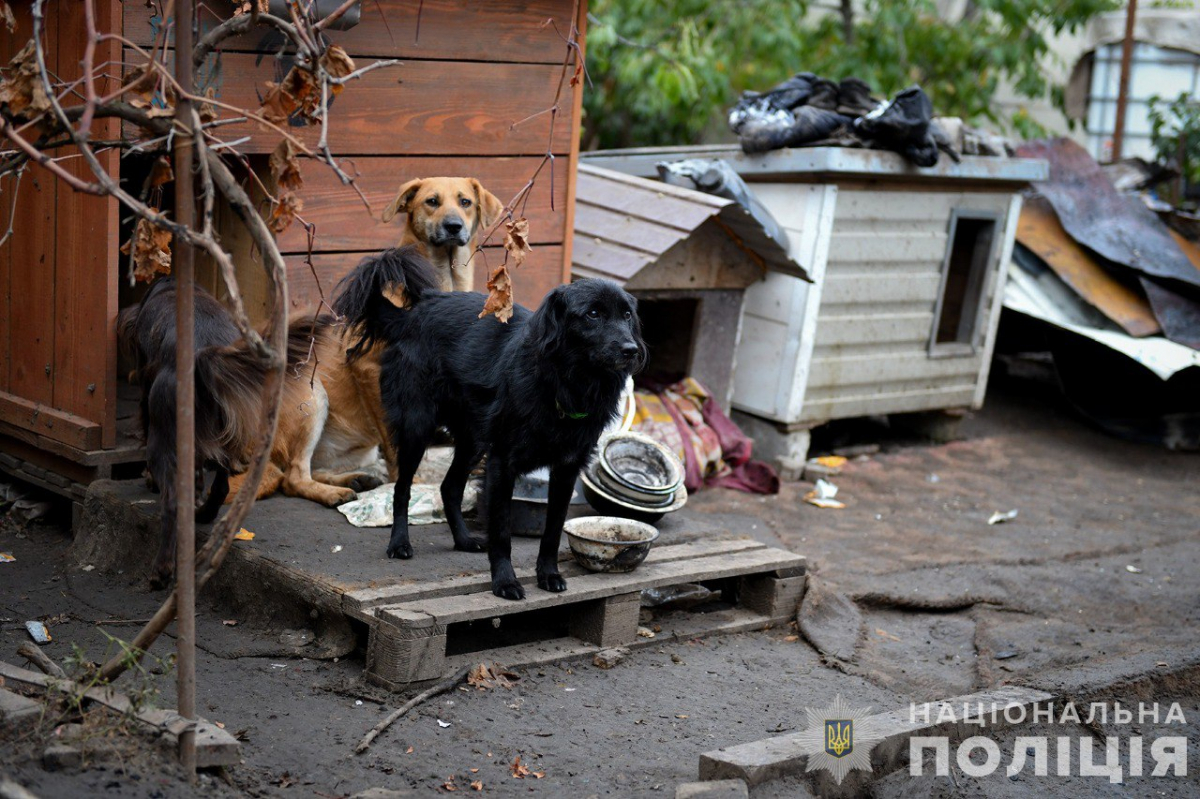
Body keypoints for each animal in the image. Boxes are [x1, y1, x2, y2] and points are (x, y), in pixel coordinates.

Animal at [116, 278, 267, 585]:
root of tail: (205, 352)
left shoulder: (146, 394)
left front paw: (149, 481)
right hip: (230, 436)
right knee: (220, 486)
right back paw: (205, 514)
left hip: (163, 436)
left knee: (173, 503)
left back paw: (161, 570)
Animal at [333, 247, 643, 597]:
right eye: (592, 314)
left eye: (627, 315)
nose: (631, 350)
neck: (567, 384)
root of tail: (411, 315)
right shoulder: (501, 463)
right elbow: (502, 532)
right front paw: (505, 581)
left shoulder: (566, 468)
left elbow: (552, 531)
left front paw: (548, 574)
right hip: (418, 427)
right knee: (402, 488)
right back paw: (399, 543)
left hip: (473, 439)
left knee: (449, 486)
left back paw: (464, 540)